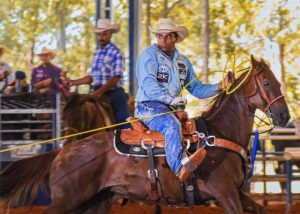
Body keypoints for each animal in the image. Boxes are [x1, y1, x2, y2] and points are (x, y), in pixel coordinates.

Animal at [0, 56, 290, 213]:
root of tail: (63, 151)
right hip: (68, 200)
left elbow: (262, 208)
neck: (217, 135)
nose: (284, 115)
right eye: (266, 82)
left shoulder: (237, 193)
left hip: (97, 201)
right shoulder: (225, 193)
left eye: (277, 81)